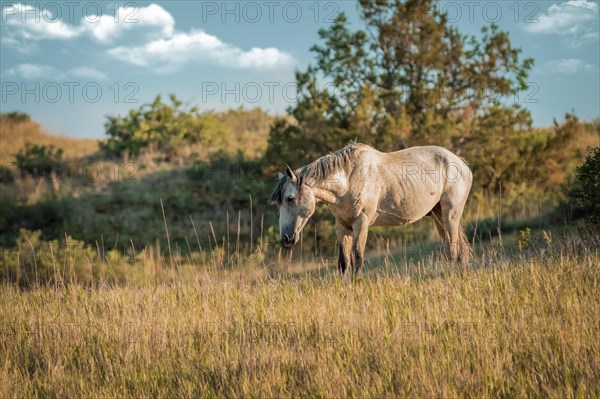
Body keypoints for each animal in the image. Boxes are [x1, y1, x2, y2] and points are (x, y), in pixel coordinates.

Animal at [272, 143, 474, 276]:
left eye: (290, 198)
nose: (286, 238)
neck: (348, 179)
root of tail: (461, 163)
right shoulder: (342, 225)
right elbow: (343, 262)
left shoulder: (361, 224)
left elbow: (357, 259)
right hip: (438, 216)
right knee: (451, 250)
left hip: (450, 215)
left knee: (453, 249)